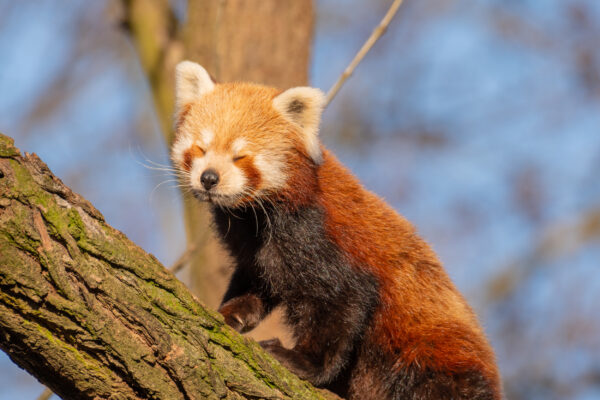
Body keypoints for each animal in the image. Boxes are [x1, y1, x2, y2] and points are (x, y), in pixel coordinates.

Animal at [170, 60, 502, 400]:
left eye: (240, 156)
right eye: (201, 148)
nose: (209, 178)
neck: (254, 216)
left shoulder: (319, 236)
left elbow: (344, 301)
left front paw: (304, 362)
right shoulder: (254, 248)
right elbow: (256, 280)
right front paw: (232, 312)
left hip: (431, 355)